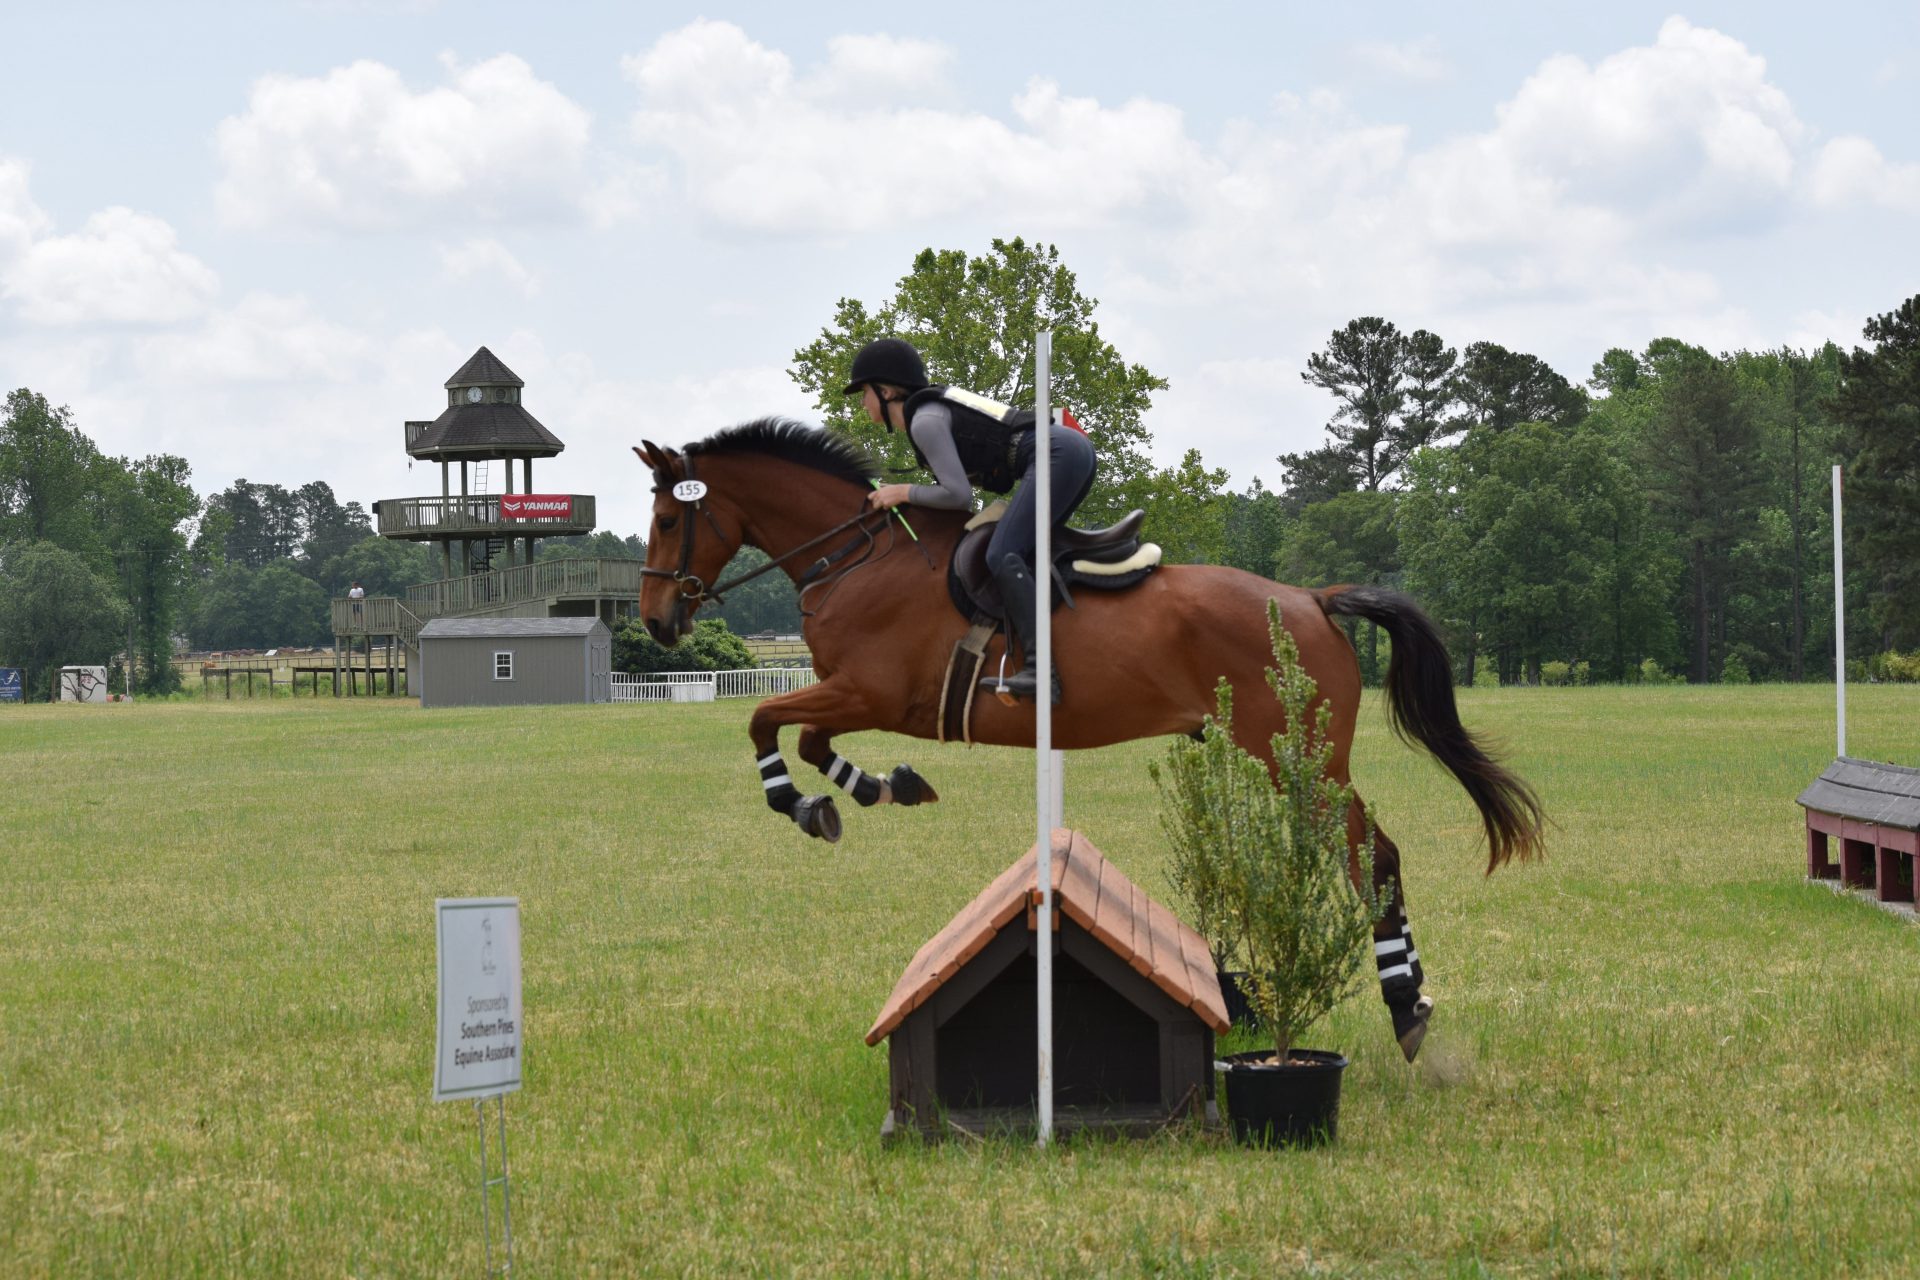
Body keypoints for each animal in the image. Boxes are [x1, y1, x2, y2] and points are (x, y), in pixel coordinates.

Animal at [634, 419, 1544, 1061]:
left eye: (667, 521)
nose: (657, 622)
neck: (854, 558)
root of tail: (1314, 600)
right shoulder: (858, 699)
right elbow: (810, 741)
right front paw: (874, 789)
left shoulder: (873, 690)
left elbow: (762, 722)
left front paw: (801, 805)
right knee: (1367, 854)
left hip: (1299, 760)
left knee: (1373, 855)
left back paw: (1407, 1006)